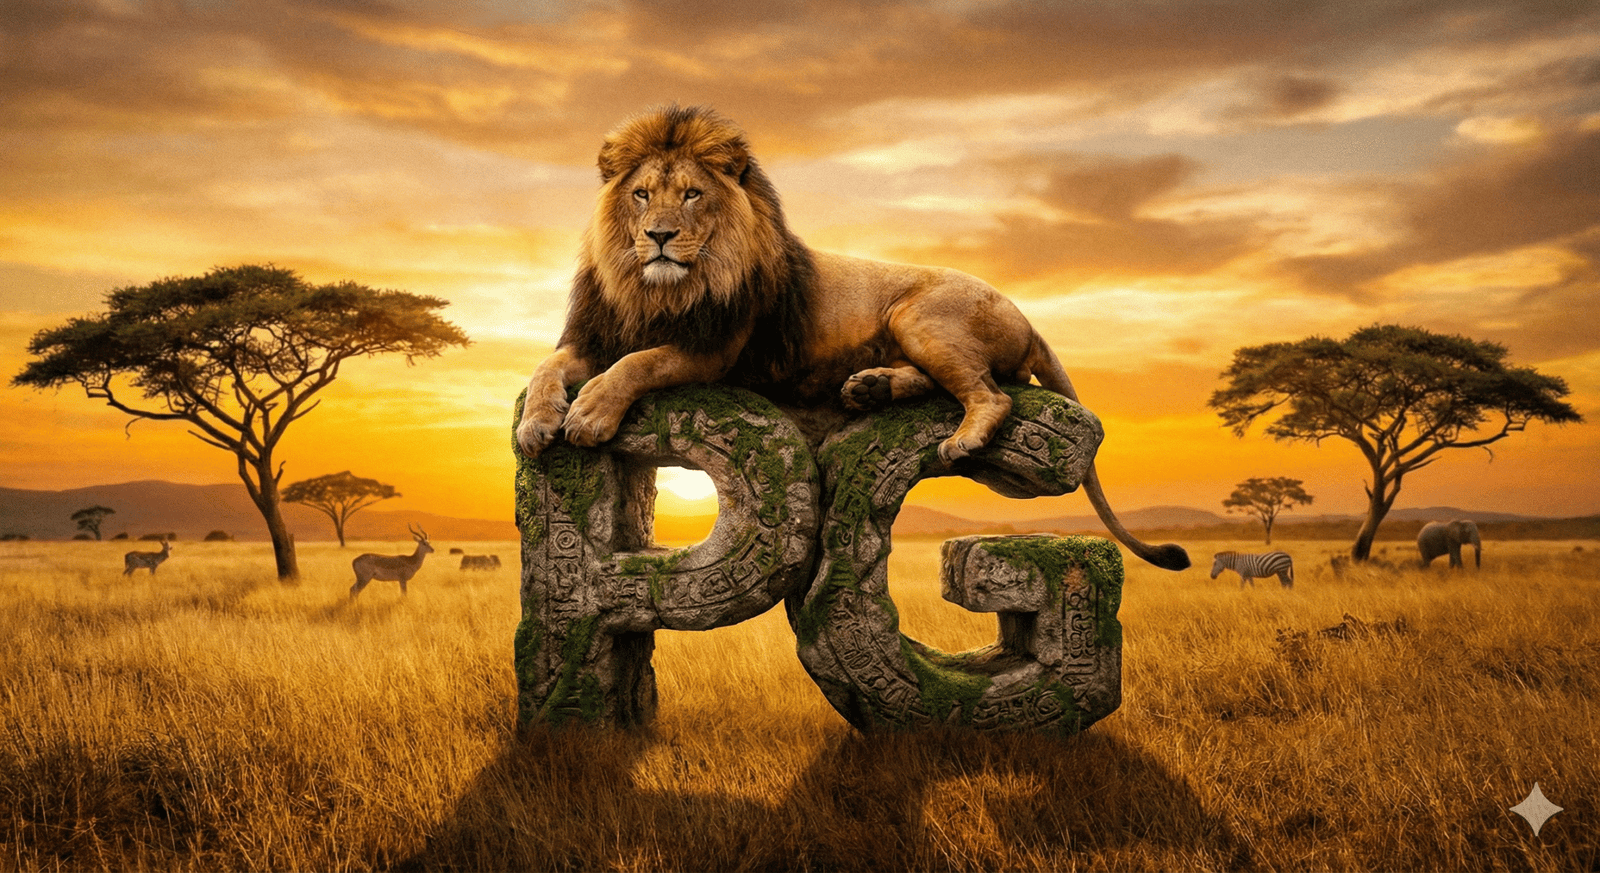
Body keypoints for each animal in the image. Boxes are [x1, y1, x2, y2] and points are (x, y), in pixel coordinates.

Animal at [517, 105, 1188, 570]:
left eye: (691, 194)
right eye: (640, 195)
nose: (657, 235)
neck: (657, 291)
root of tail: (1030, 319)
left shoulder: (713, 350)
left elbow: (639, 364)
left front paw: (590, 414)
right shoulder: (600, 333)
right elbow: (547, 367)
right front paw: (537, 423)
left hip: (919, 314)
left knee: (992, 393)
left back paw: (959, 437)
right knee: (956, 382)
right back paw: (871, 388)